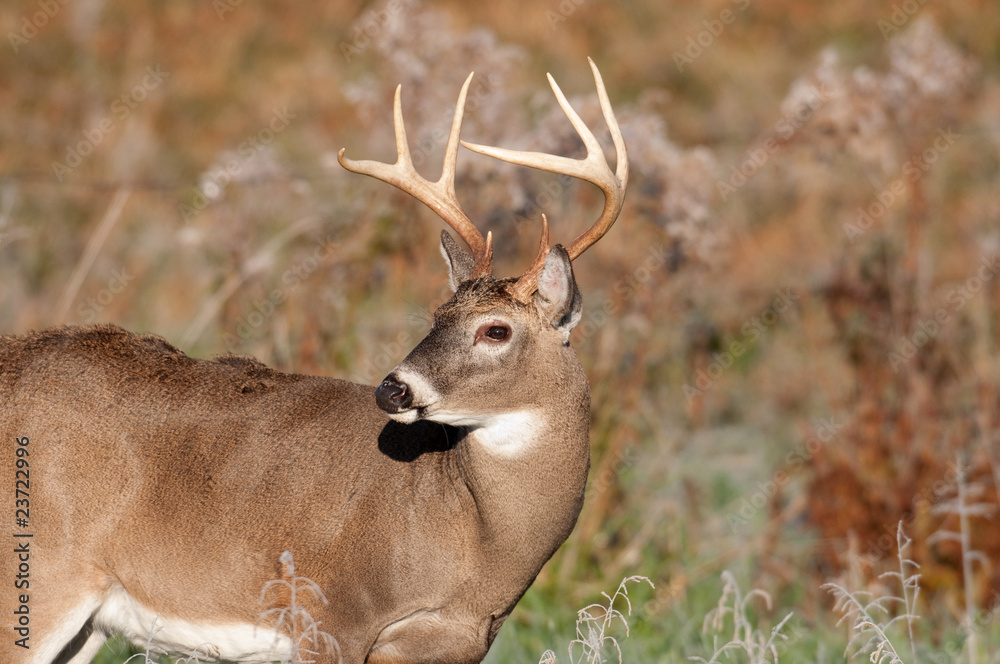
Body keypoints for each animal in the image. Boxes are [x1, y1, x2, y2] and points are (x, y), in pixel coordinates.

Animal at [0, 58, 628, 664]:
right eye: (438, 314)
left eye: (495, 330)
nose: (393, 389)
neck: (471, 541)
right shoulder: (330, 612)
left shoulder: (453, 644)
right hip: (36, 573)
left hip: (88, 623)